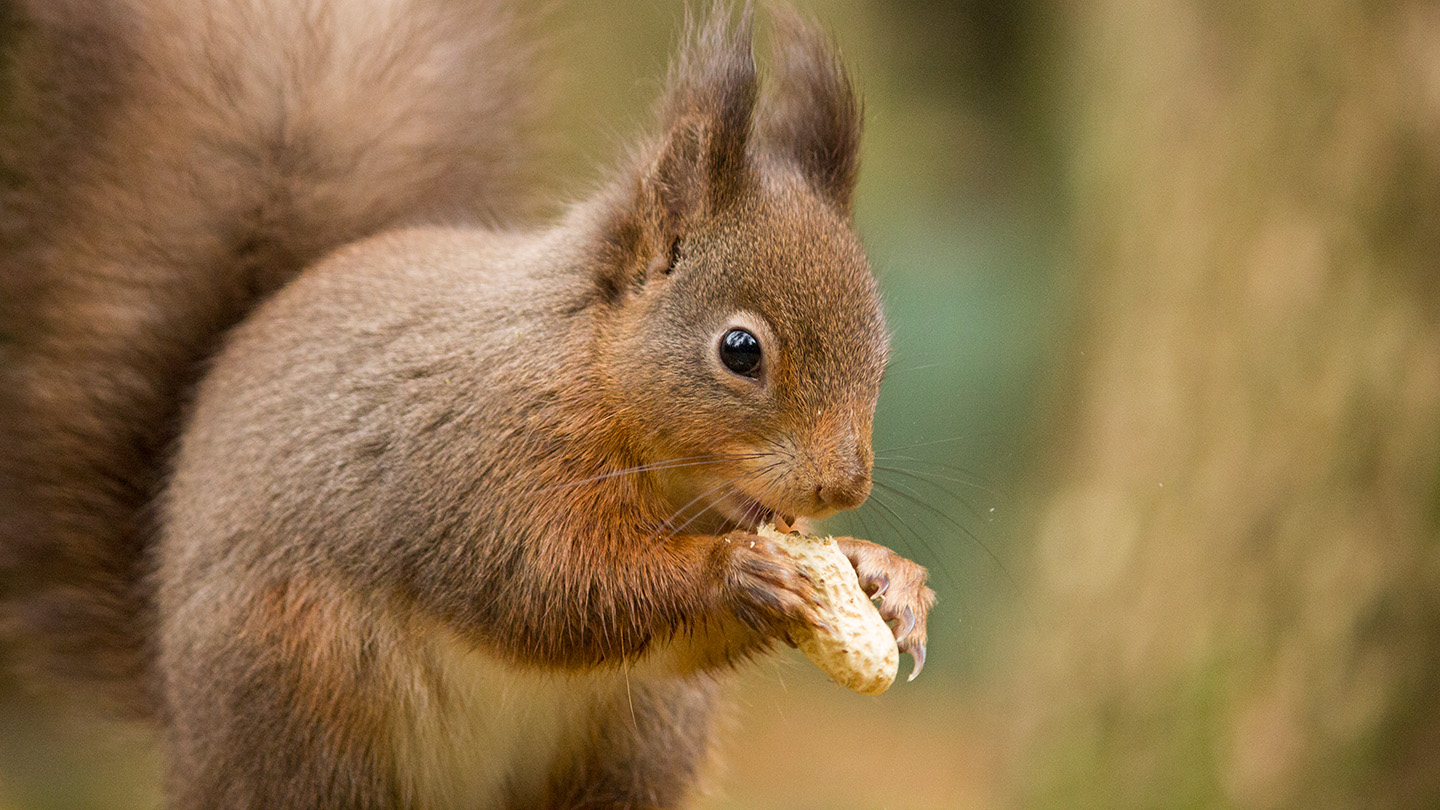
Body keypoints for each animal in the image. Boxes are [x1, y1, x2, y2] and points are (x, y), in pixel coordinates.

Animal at [0, 3, 933, 801]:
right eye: (740, 351)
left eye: (883, 356)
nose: (843, 487)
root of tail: (181, 719)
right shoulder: (484, 457)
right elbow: (548, 583)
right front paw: (735, 571)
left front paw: (885, 579)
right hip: (304, 692)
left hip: (639, 738)